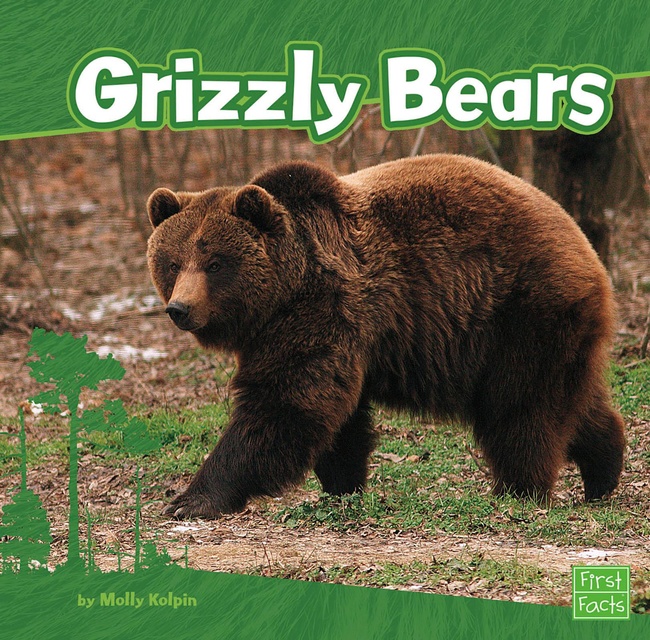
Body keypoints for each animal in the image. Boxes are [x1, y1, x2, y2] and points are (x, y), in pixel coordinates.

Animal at [146, 153, 626, 519]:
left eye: (215, 263)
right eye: (173, 262)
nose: (180, 308)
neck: (283, 291)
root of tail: (584, 246)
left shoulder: (322, 309)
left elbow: (285, 403)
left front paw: (190, 499)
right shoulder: (329, 331)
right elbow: (336, 418)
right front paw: (342, 484)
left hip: (521, 311)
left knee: (521, 407)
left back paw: (519, 490)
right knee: (577, 403)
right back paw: (603, 471)